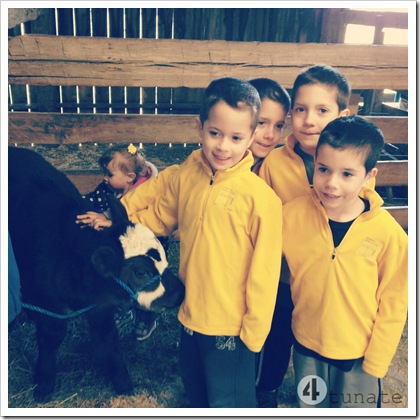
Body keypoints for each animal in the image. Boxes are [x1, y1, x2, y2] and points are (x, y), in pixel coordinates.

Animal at [7, 146, 184, 402]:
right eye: (140, 272)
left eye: (162, 254)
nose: (181, 291)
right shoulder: (48, 300)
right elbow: (52, 335)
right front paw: (44, 383)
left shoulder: (100, 307)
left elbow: (108, 338)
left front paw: (122, 382)